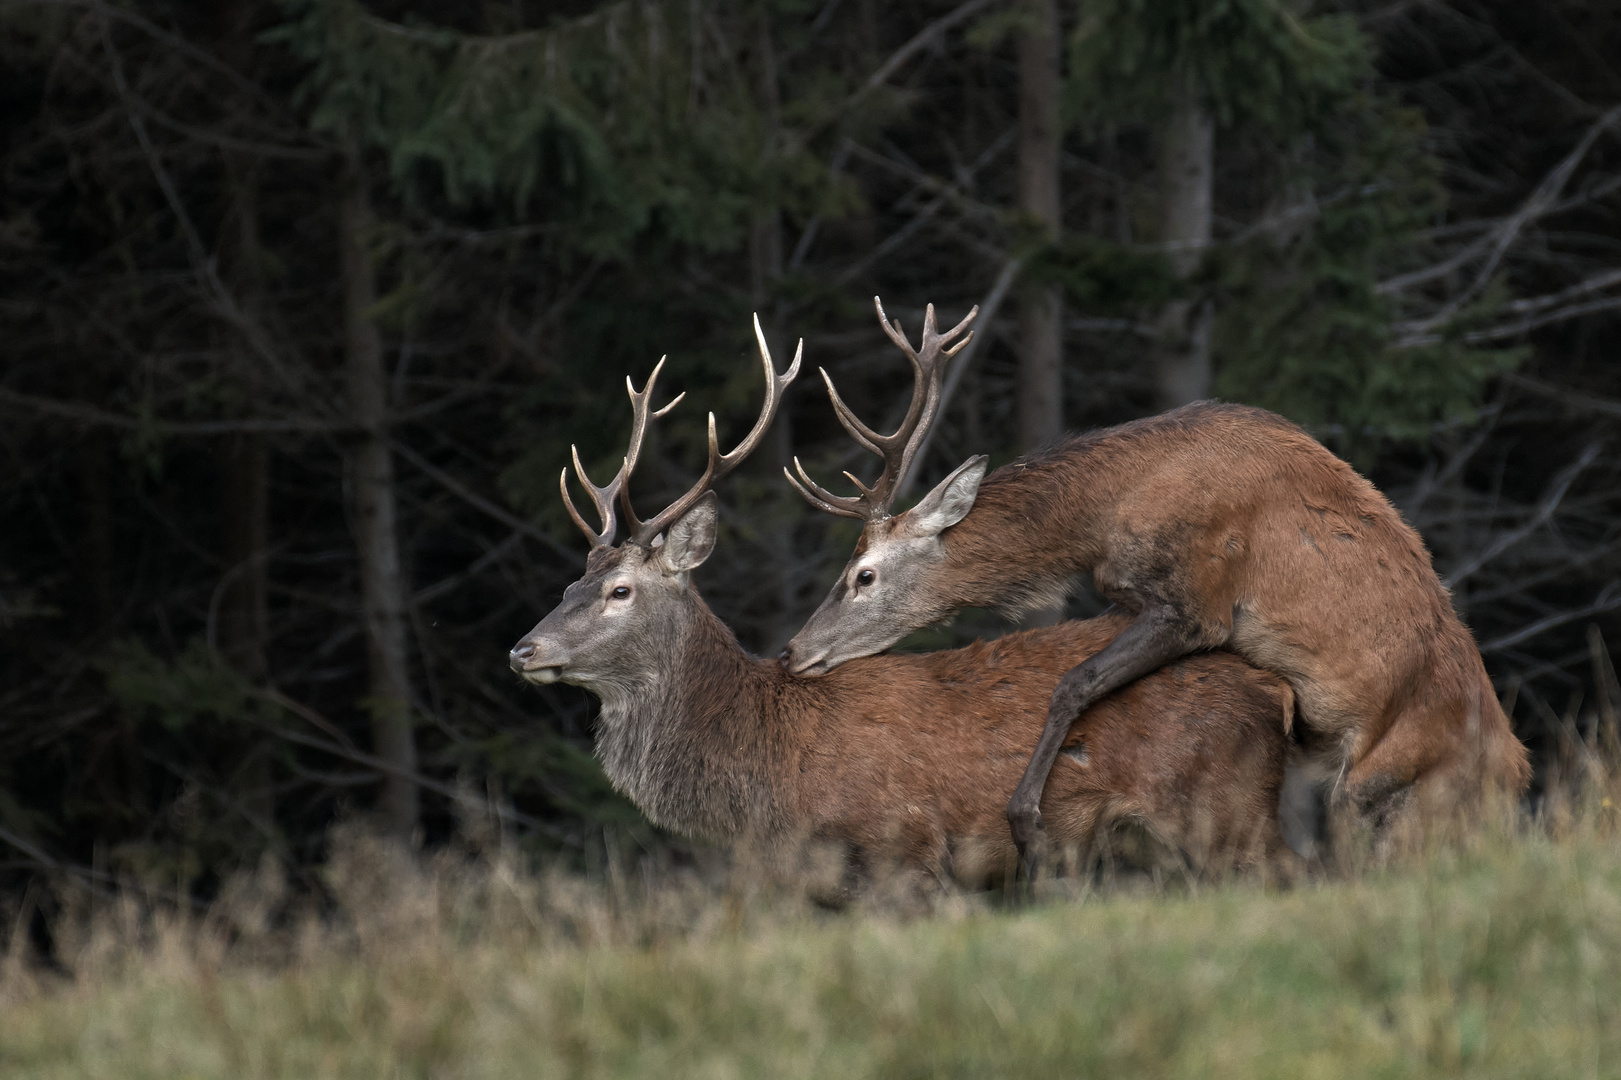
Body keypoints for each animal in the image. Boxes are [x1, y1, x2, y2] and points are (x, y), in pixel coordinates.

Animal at [512, 316, 1296, 888]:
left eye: (620, 590)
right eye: (566, 587)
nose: (523, 649)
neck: (766, 777)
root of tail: (1275, 692)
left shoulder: (904, 848)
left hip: (1228, 814)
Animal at [781, 296, 1530, 869]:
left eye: (863, 575)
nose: (792, 651)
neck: (1105, 510)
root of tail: (1518, 772)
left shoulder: (1195, 600)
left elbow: (1072, 683)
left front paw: (1026, 821)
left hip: (1400, 787)